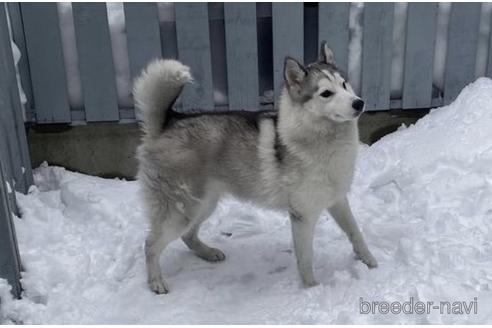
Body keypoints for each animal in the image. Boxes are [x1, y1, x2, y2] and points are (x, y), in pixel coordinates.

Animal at [135, 41, 376, 294]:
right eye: (326, 93)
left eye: (344, 84)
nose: (359, 103)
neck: (323, 138)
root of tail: (166, 123)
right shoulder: (303, 215)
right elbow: (306, 258)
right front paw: (311, 288)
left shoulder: (338, 199)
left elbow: (355, 232)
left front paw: (369, 261)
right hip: (181, 212)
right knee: (150, 244)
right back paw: (156, 281)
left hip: (203, 205)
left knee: (188, 236)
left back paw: (208, 253)